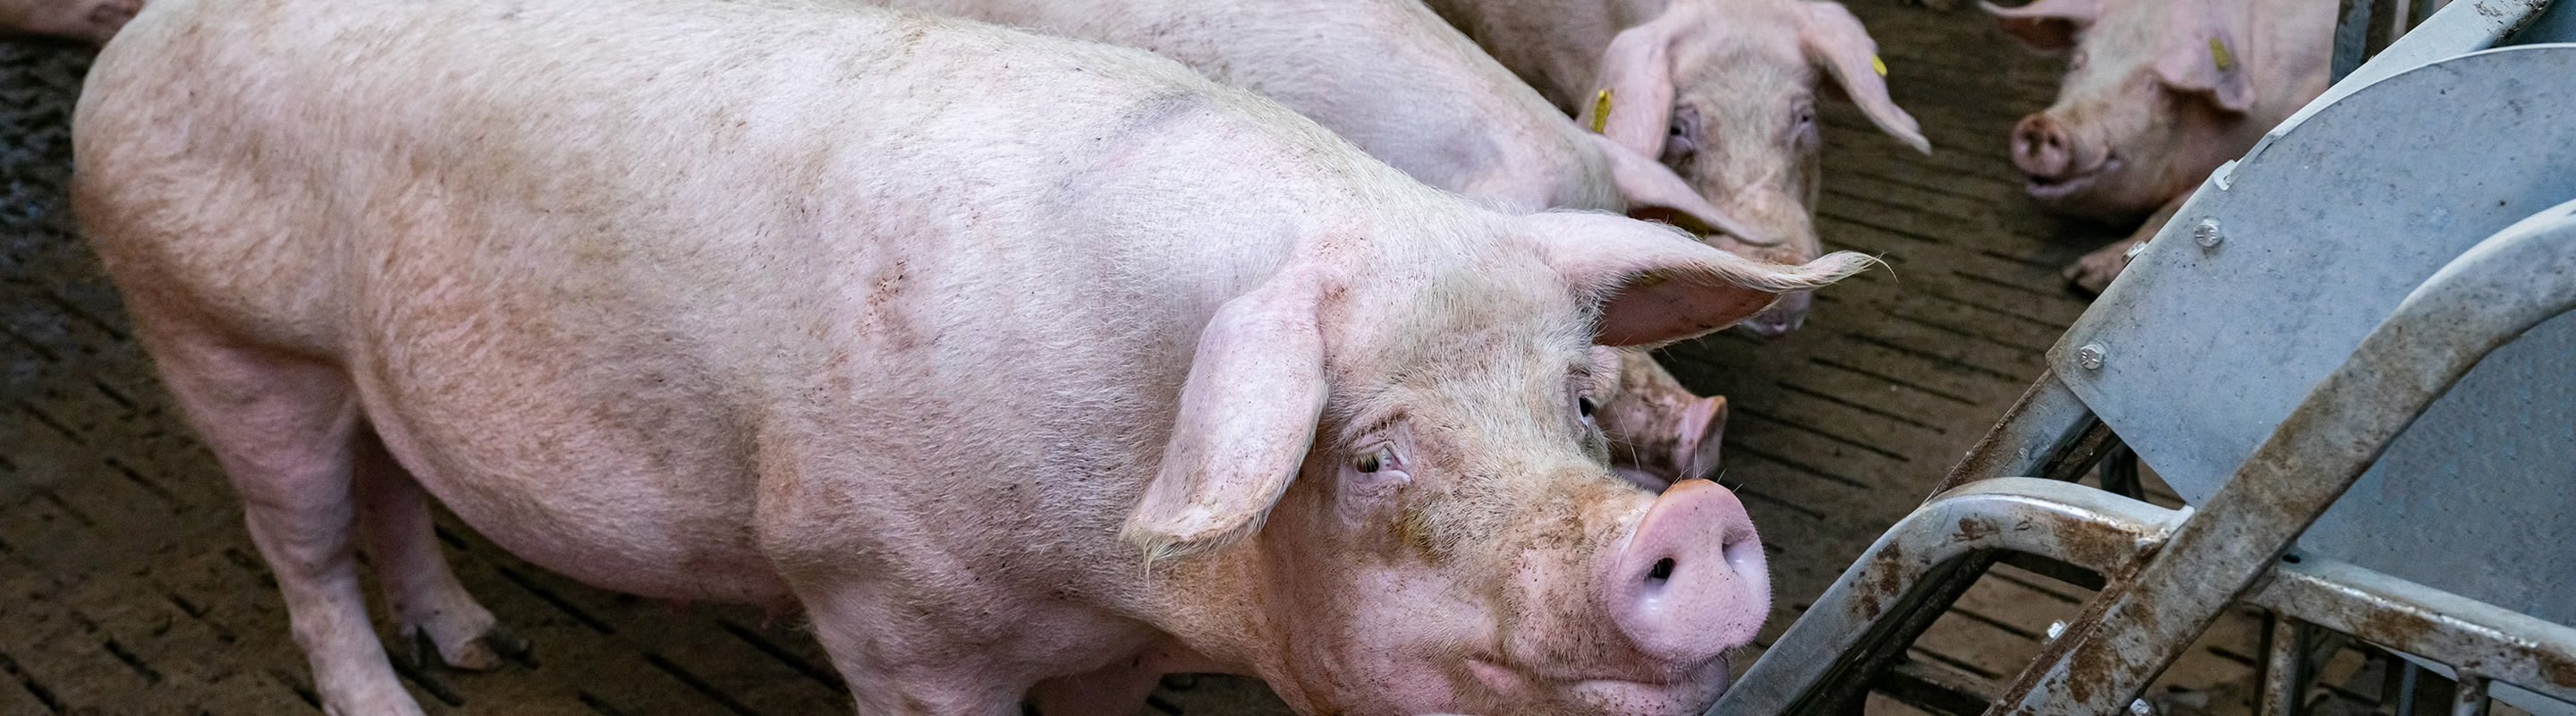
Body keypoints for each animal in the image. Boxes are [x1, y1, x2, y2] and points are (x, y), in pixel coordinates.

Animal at [1986, 0, 2334, 293]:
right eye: (2078, 62)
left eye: (2154, 86)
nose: (2041, 126)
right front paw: (2077, 276)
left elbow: (2180, 205)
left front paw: (2083, 277)